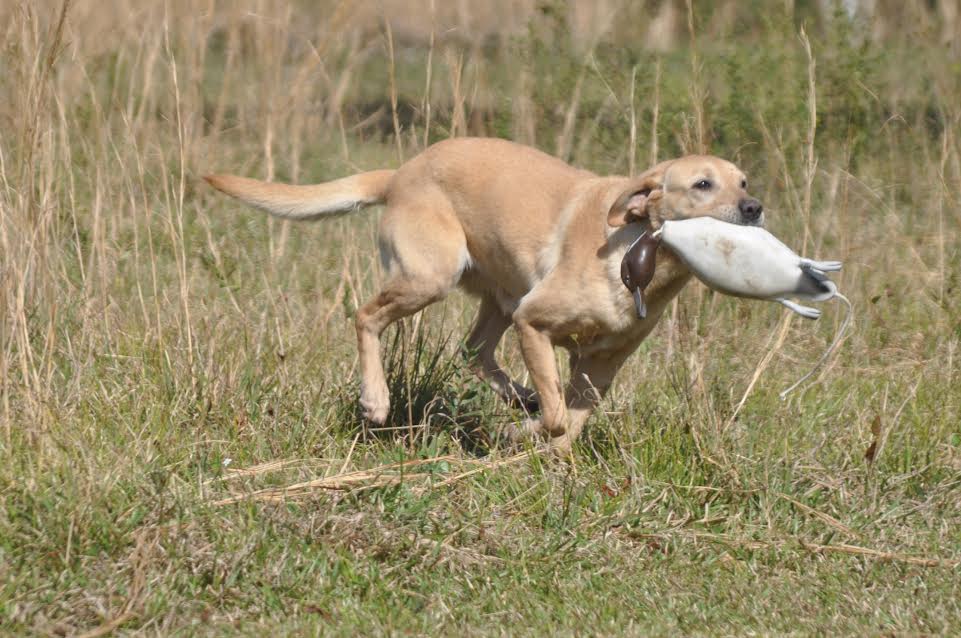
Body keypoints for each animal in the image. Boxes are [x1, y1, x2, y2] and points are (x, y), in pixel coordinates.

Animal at [206, 137, 763, 454]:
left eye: (743, 181)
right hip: (434, 279)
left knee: (473, 352)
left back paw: (518, 395)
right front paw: (522, 434)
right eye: (703, 184)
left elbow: (571, 425)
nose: (755, 207)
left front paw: (540, 443)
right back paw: (376, 400)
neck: (634, 250)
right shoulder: (534, 322)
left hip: (499, 297)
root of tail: (401, 173)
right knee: (365, 317)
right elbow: (557, 419)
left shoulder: (602, 365)